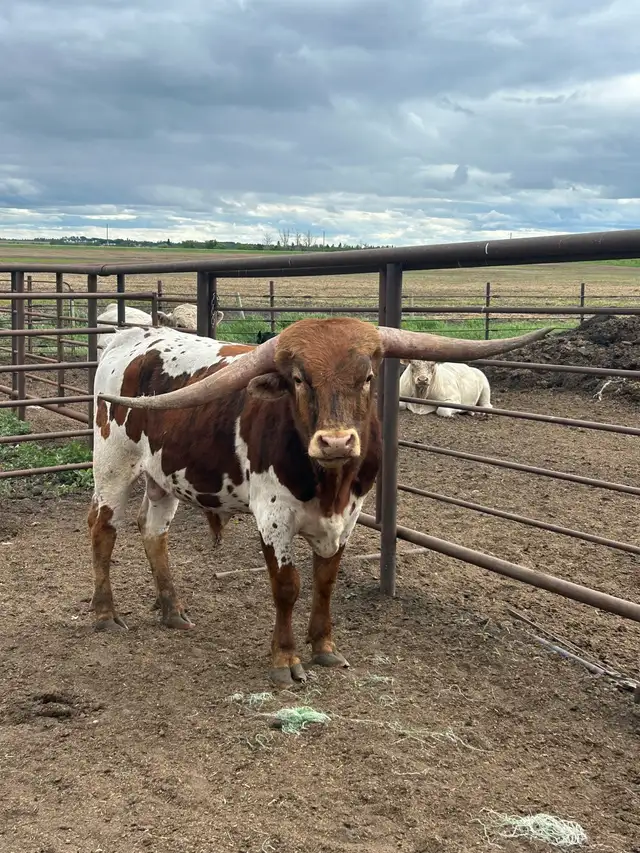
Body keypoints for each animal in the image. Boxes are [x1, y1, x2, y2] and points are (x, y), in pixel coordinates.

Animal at [93, 317, 549, 687]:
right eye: (298, 379)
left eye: (367, 376)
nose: (336, 442)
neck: (332, 484)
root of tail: (132, 336)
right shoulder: (273, 518)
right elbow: (287, 587)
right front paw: (284, 659)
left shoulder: (348, 517)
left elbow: (325, 581)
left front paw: (324, 648)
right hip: (112, 464)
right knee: (102, 530)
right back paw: (104, 614)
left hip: (162, 477)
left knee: (153, 531)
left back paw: (172, 610)